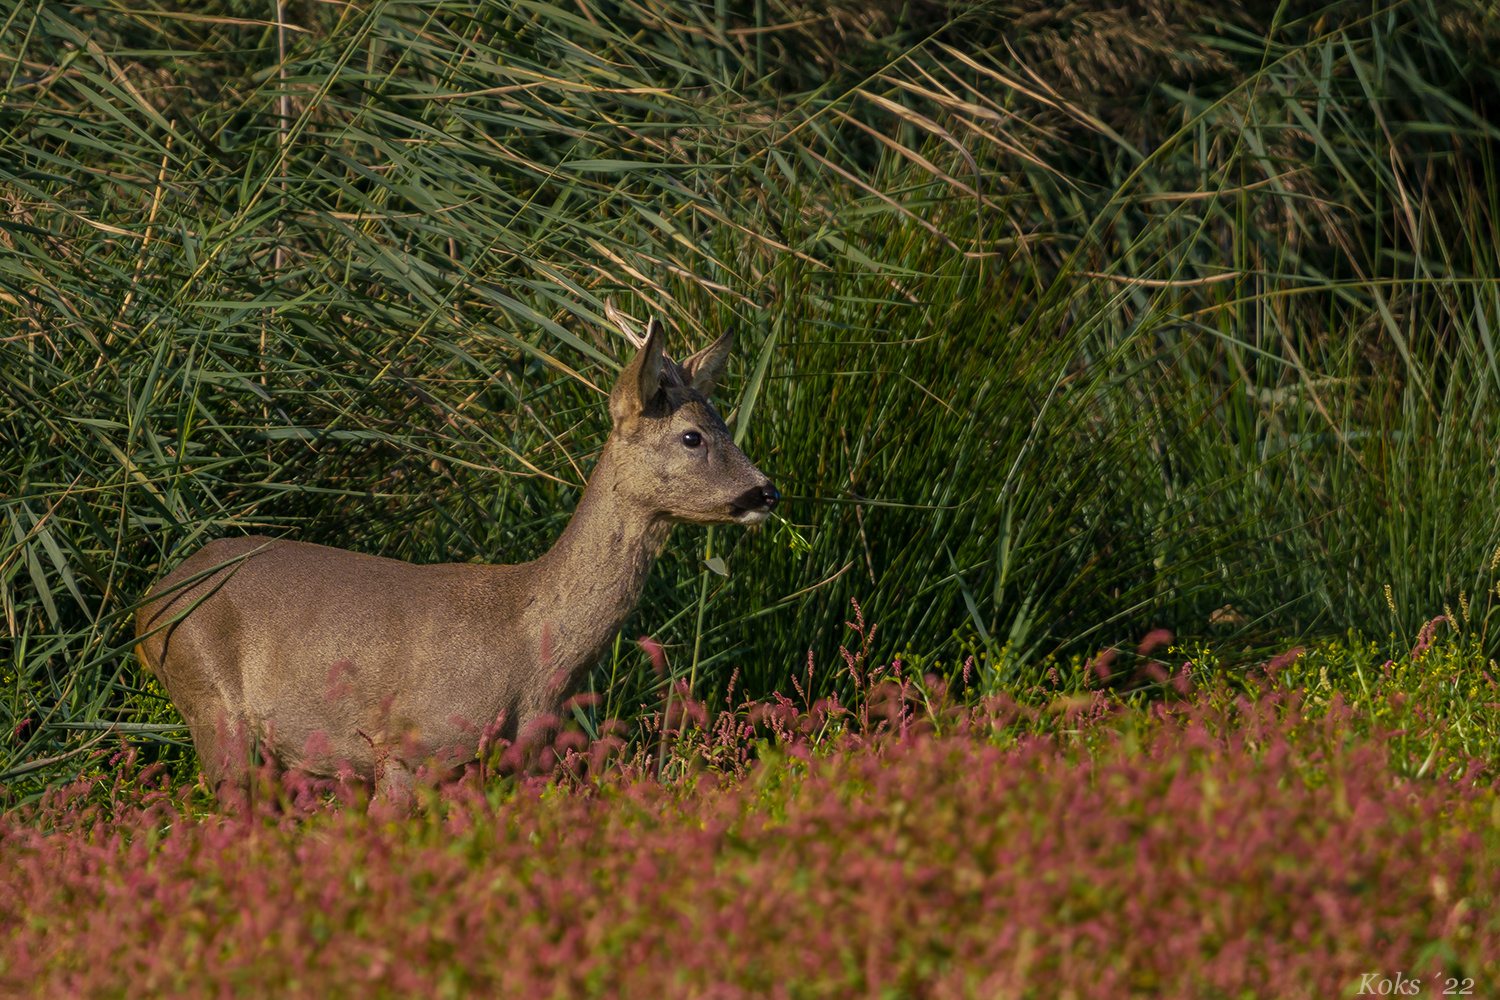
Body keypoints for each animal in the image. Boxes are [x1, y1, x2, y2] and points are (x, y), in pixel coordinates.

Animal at [135, 316, 780, 803]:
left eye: (726, 423)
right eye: (693, 436)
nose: (767, 492)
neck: (531, 646)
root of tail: (147, 602)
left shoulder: (517, 763)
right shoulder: (407, 743)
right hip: (210, 700)